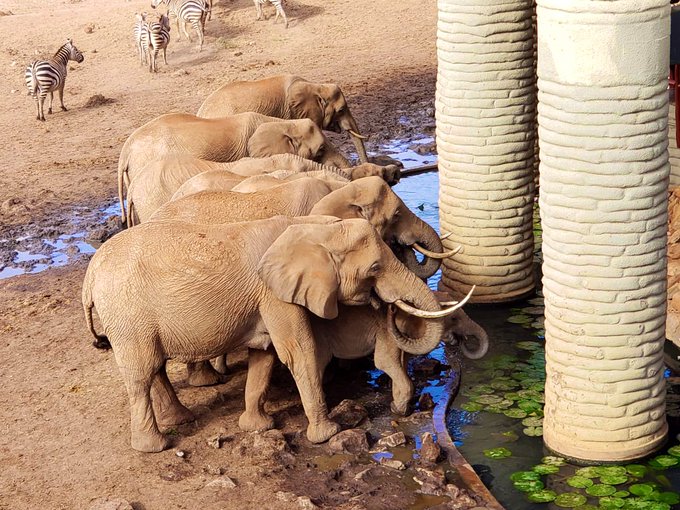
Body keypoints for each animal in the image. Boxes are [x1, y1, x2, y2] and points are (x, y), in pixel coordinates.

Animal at [240, 289, 485, 428]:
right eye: (453, 319)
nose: (461, 341)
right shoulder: (387, 330)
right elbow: (385, 362)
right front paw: (400, 411)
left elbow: (400, 363)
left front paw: (397, 407)